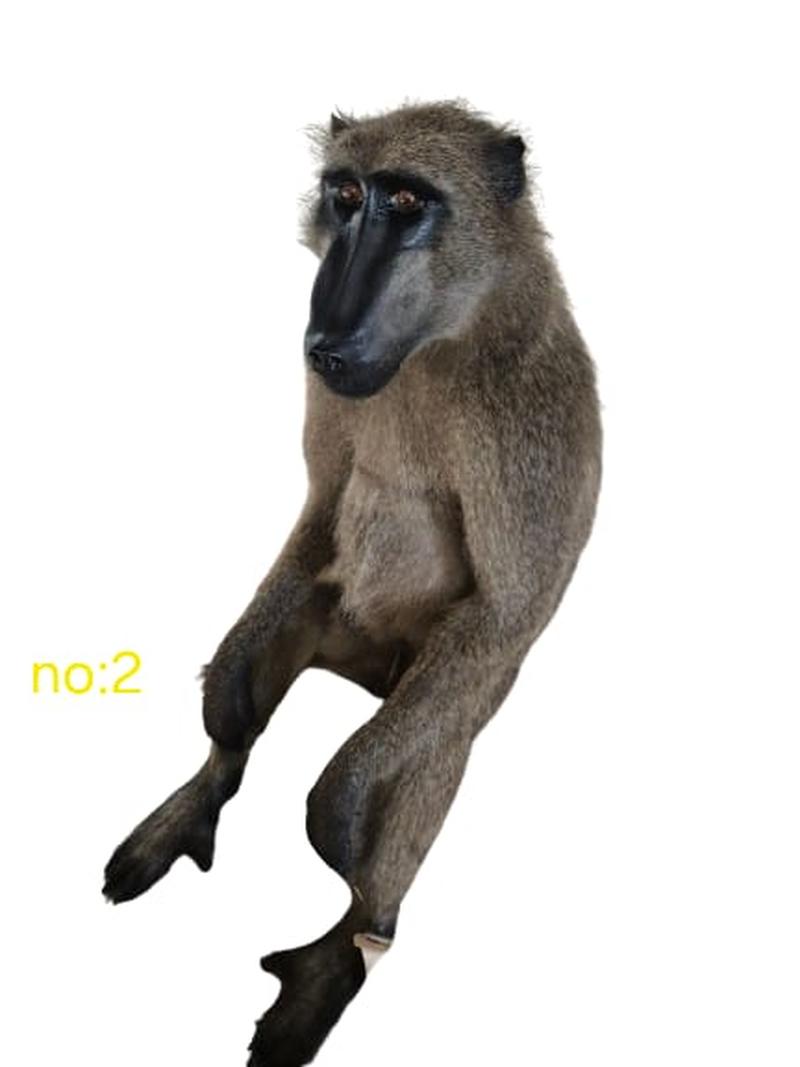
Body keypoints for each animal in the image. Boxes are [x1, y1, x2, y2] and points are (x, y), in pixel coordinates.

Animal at [103, 100, 602, 1066]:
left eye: (405, 201)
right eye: (344, 195)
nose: (326, 338)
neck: (446, 338)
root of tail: (369, 671)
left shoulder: (529, 416)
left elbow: (507, 609)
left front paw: (334, 821)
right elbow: (325, 502)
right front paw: (225, 711)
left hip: (438, 689)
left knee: (431, 752)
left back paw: (348, 944)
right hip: (331, 619)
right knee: (251, 702)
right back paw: (203, 788)